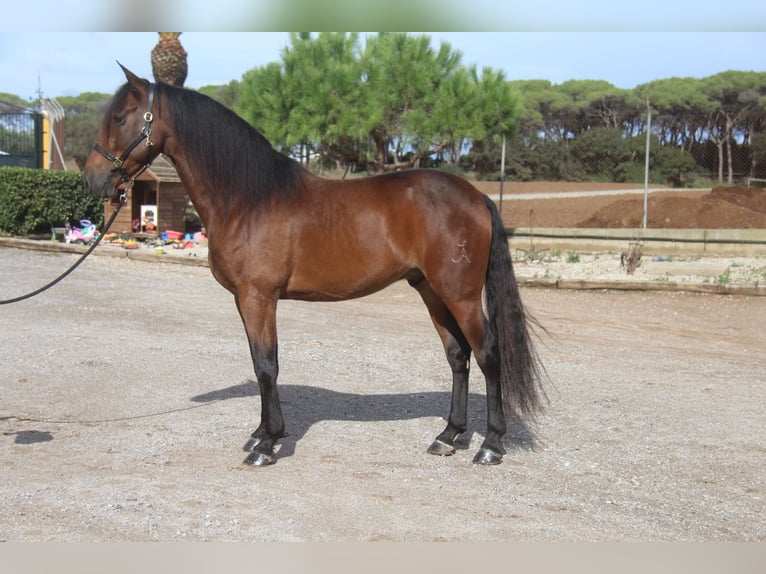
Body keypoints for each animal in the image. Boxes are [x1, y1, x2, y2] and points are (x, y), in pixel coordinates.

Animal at [83, 65, 545, 466]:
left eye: (121, 117)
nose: (92, 180)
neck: (249, 199)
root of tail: (477, 196)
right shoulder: (244, 300)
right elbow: (258, 362)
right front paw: (260, 433)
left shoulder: (259, 298)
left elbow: (266, 366)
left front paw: (266, 444)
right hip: (431, 290)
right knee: (457, 355)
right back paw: (448, 436)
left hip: (460, 294)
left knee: (487, 355)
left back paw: (490, 445)